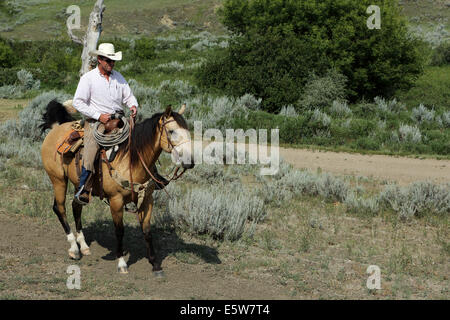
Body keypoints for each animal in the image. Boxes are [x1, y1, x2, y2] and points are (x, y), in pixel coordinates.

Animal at [39, 101, 192, 276]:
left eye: (188, 130)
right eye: (172, 131)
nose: (190, 161)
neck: (130, 160)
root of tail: (56, 128)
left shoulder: (147, 199)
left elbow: (147, 231)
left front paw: (155, 264)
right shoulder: (116, 201)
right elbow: (119, 231)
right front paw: (121, 263)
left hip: (79, 186)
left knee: (76, 206)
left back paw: (83, 246)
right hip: (58, 180)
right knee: (59, 208)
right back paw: (74, 249)